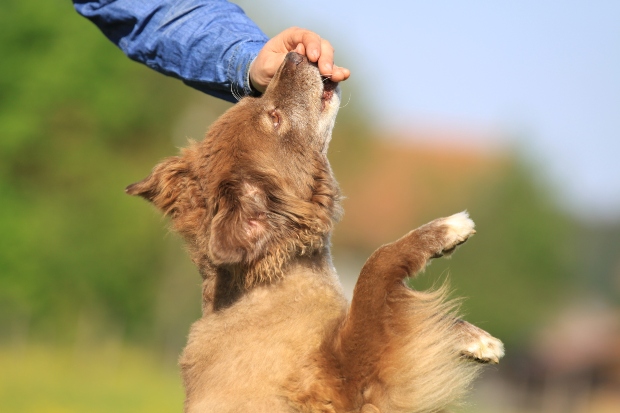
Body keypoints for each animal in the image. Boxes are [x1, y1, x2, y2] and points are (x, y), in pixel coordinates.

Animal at [126, 52, 504, 412]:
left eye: (253, 98)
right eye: (275, 118)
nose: (292, 55)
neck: (277, 278)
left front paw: (475, 340)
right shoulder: (342, 380)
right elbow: (375, 269)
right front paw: (447, 230)